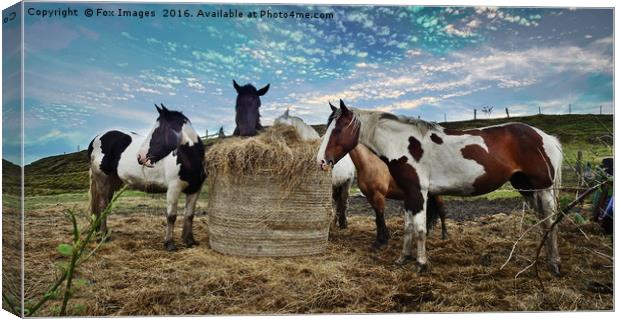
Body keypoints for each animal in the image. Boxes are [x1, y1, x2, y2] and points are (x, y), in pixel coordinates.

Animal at [88, 104, 206, 251]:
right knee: (103, 205)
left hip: (112, 182)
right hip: (102, 179)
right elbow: (171, 216)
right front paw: (169, 243)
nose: (141, 157)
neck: (189, 161)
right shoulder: (173, 189)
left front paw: (189, 240)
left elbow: (189, 215)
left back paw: (101, 232)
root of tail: (96, 138)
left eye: (159, 131)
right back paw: (103, 236)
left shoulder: (195, 190)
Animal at [318, 100, 564, 276]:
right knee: (543, 222)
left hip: (543, 188)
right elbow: (408, 228)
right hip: (526, 188)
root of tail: (545, 137)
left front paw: (421, 264)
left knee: (550, 220)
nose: (321, 161)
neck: (405, 145)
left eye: (338, 130)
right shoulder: (409, 195)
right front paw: (402, 259)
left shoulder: (418, 194)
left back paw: (554, 265)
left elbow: (420, 229)